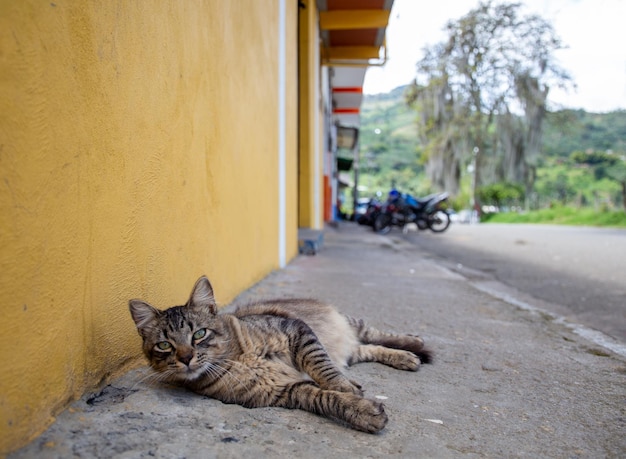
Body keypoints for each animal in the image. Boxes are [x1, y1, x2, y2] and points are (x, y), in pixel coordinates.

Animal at [129, 276, 432, 434]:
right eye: (165, 345)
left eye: (199, 334)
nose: (186, 358)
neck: (236, 360)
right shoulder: (285, 391)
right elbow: (326, 398)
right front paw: (360, 410)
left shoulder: (296, 332)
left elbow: (324, 370)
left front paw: (346, 388)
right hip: (351, 349)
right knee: (366, 348)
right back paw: (404, 357)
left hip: (351, 324)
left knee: (373, 334)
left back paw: (412, 344)